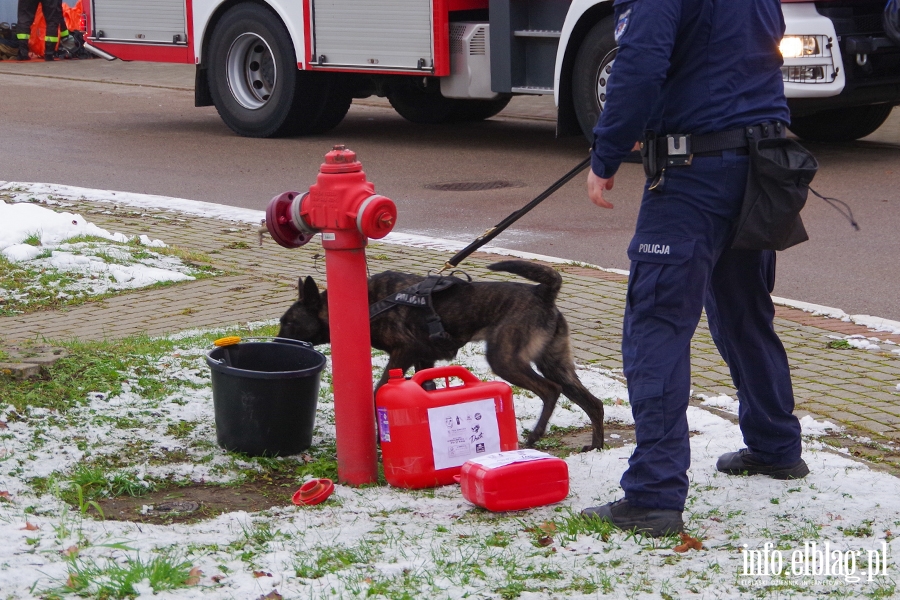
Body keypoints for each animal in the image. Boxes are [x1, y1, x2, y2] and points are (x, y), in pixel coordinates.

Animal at [280, 260, 604, 448]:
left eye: (288, 322)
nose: (278, 341)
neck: (367, 303)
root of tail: (542, 292)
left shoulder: (404, 352)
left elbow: (377, 391)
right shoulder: (424, 360)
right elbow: (428, 389)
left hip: (505, 360)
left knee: (550, 391)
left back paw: (535, 437)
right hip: (555, 363)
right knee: (594, 403)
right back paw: (596, 446)